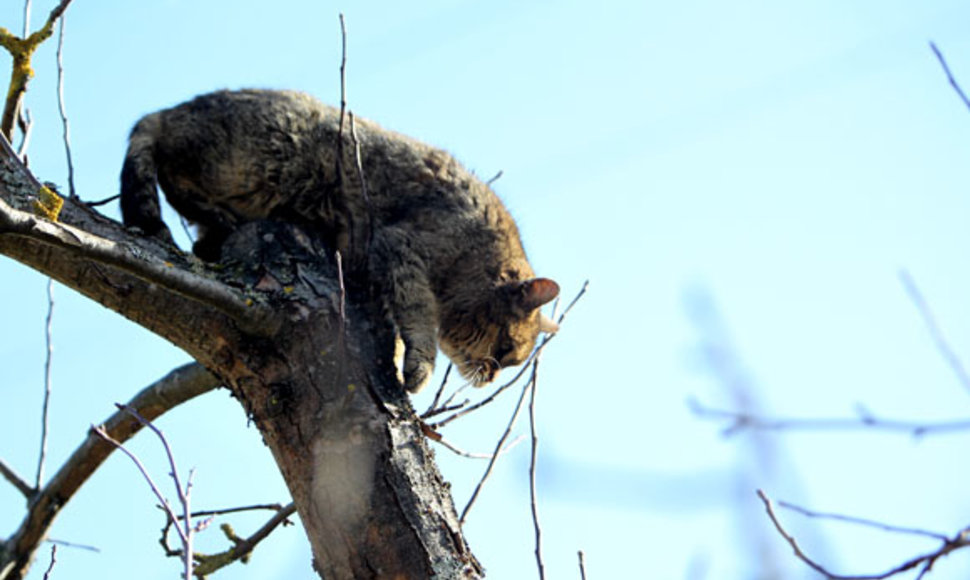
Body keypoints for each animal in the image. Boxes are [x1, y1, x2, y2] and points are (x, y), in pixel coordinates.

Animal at [121, 88, 560, 392]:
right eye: (506, 351)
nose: (492, 377)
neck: (477, 250)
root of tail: (169, 112)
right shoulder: (401, 249)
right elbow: (419, 319)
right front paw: (419, 368)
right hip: (270, 156)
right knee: (172, 176)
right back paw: (214, 211)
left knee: (197, 234)